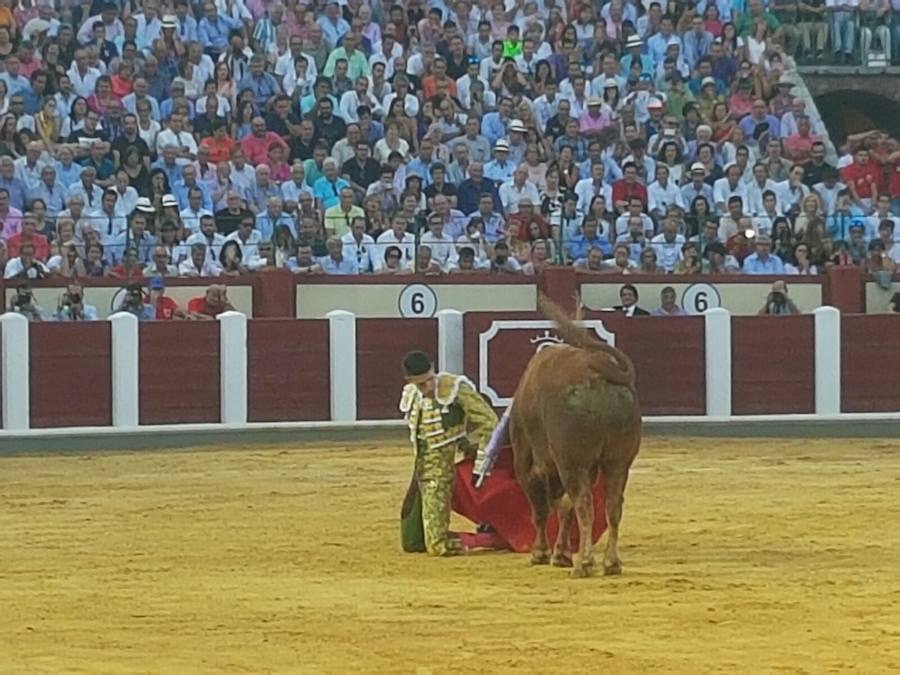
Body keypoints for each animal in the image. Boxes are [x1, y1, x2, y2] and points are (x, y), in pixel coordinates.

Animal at [510, 302, 644, 580]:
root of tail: (599, 371)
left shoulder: (530, 462)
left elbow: (544, 508)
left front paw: (542, 553)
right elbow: (564, 507)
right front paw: (560, 554)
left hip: (573, 463)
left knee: (584, 504)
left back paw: (584, 563)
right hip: (618, 461)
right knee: (613, 506)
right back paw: (611, 563)